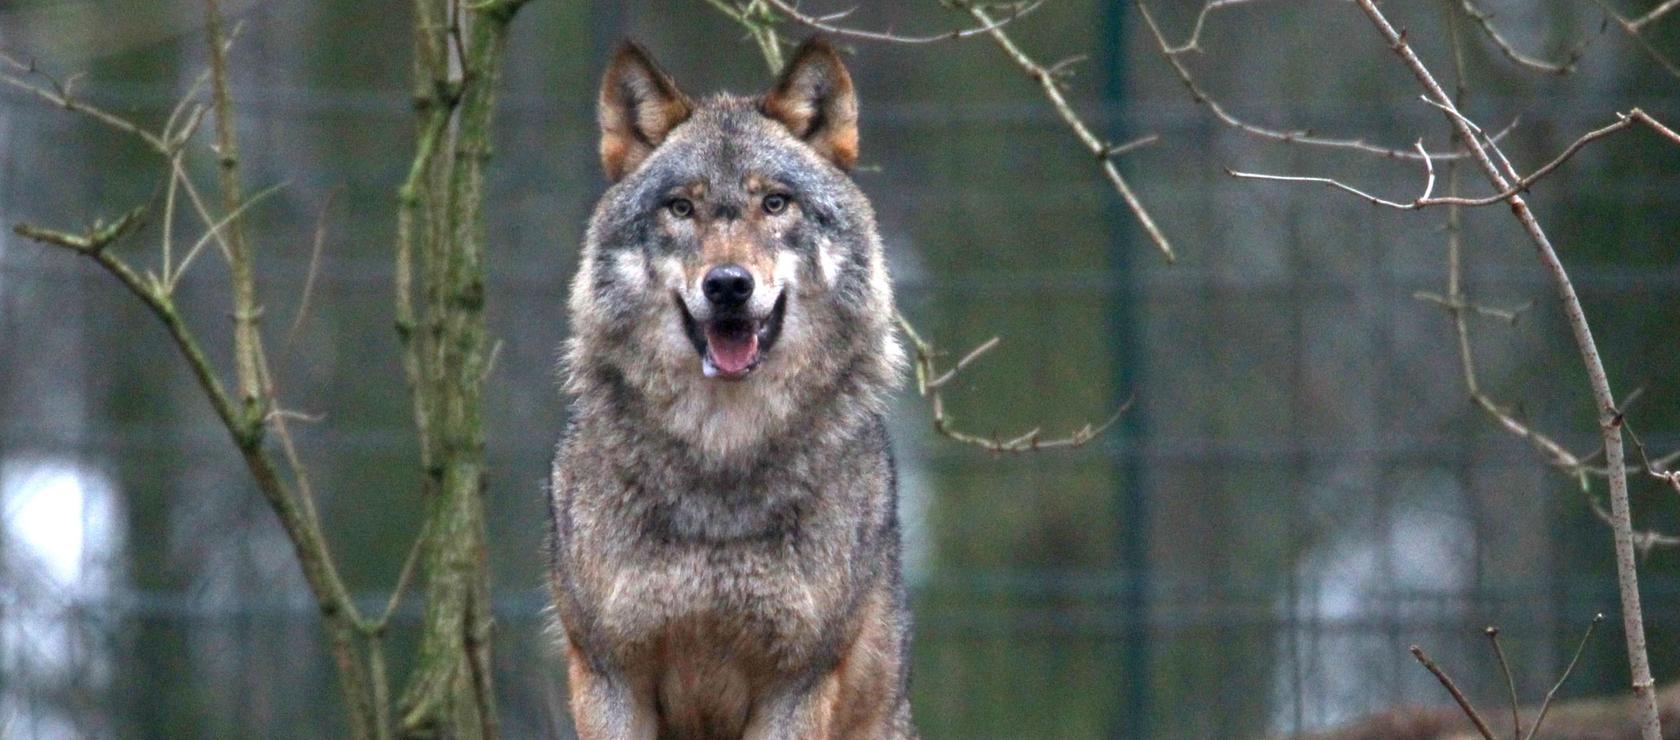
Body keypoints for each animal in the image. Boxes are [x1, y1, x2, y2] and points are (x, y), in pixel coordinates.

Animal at [547, 39, 920, 740]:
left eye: (774, 204)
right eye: (681, 208)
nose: (727, 285)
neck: (721, 450)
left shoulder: (798, 683)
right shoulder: (609, 675)